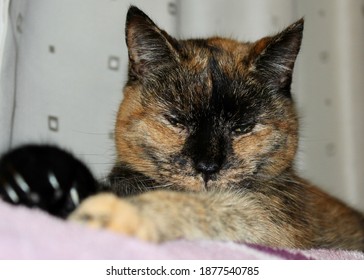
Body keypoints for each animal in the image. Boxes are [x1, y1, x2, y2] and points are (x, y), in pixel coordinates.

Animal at [0, 6, 364, 252]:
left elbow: (207, 210)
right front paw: (35, 176)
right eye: (177, 120)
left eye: (243, 127)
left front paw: (118, 214)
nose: (207, 167)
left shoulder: (274, 222)